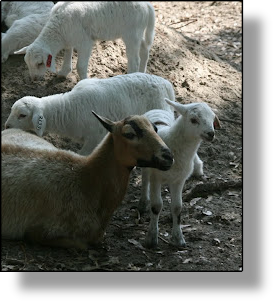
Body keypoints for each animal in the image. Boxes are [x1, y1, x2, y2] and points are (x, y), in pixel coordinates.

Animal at [4, 72, 175, 156]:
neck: (69, 109)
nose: (7, 127)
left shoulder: (94, 137)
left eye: (22, 115)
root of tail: (167, 84)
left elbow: (83, 155)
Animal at [14, 1, 155, 81]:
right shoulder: (69, 38)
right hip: (138, 32)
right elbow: (68, 52)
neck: (58, 30)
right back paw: (142, 73)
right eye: (27, 63)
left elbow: (80, 66)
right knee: (145, 49)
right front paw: (63, 72)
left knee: (134, 60)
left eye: (40, 63)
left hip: (132, 33)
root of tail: (147, 5)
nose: (34, 79)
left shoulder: (85, 42)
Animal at [139, 98, 221, 248]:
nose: (211, 134)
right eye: (193, 120)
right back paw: (143, 202)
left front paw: (178, 239)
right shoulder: (156, 178)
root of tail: (155, 110)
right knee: (145, 177)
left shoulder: (179, 180)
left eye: (213, 119)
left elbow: (177, 207)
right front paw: (151, 238)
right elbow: (156, 206)